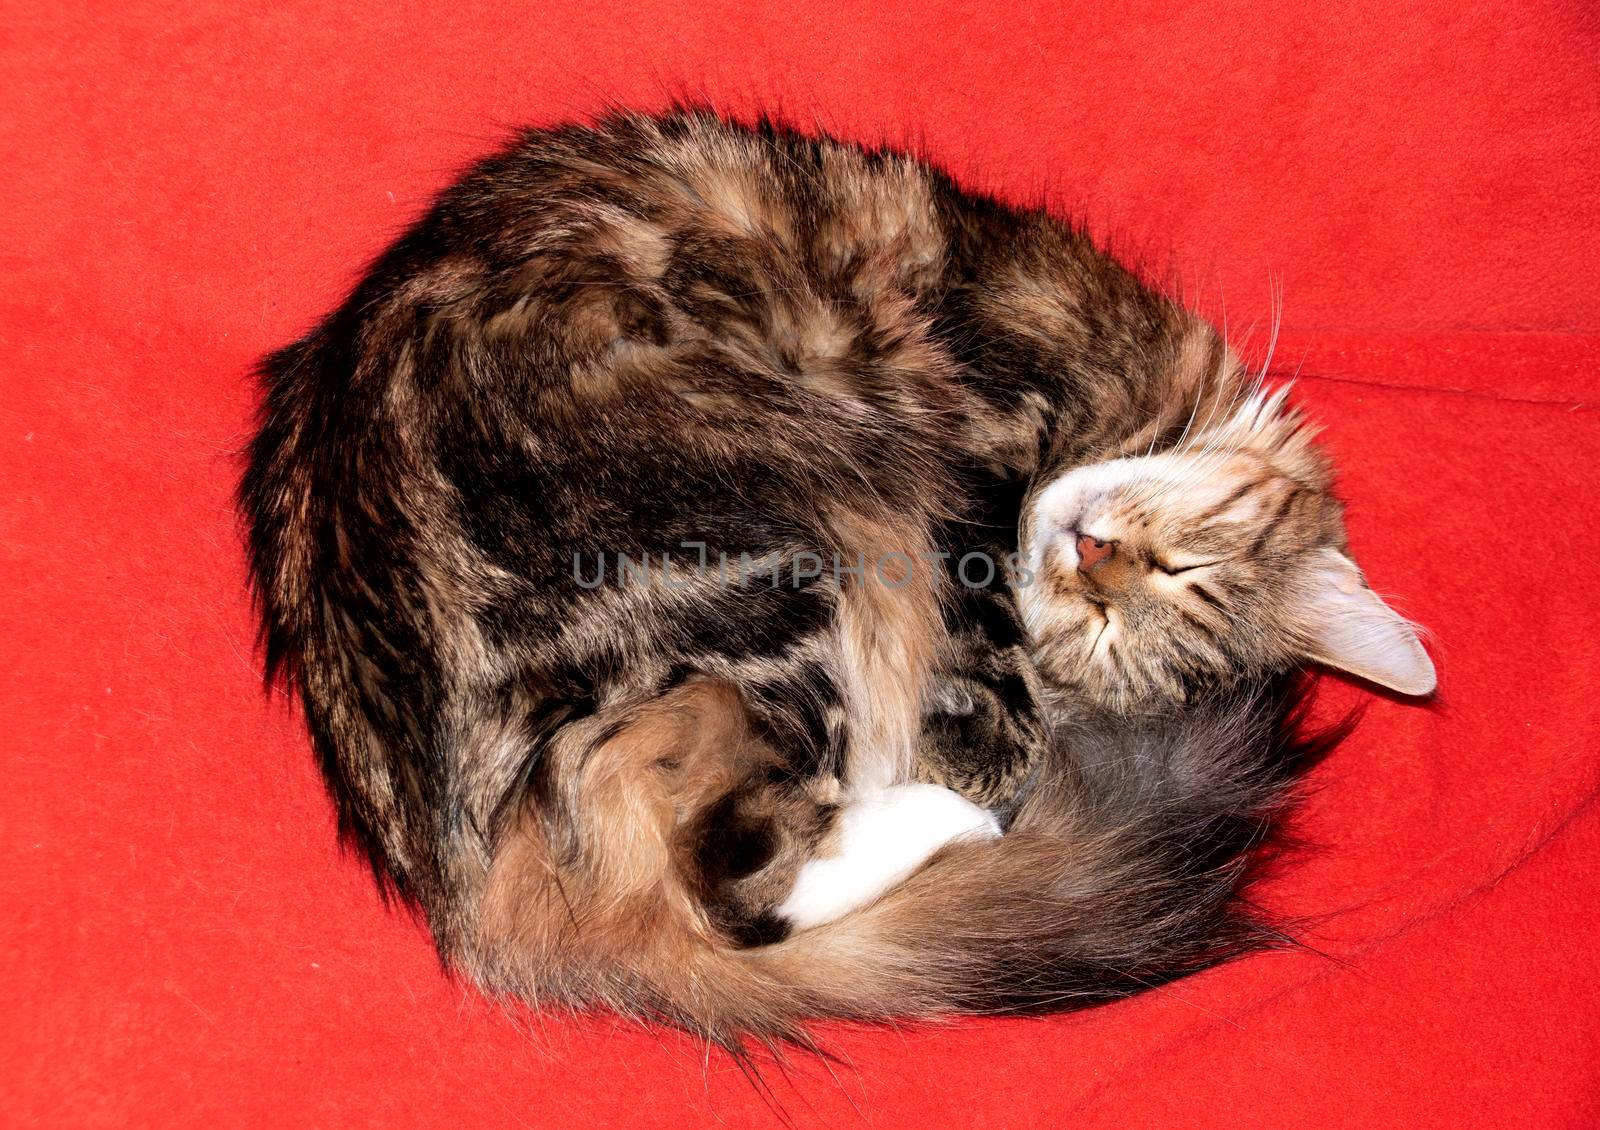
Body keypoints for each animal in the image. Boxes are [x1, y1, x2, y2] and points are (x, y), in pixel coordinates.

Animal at [240, 110, 1440, 1043]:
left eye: (1124, 620)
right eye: (1180, 570)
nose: (1093, 556)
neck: (1125, 398)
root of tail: (473, 891)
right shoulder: (979, 457)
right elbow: (990, 673)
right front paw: (988, 754)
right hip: (786, 550)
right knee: (736, 880)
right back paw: (954, 822)